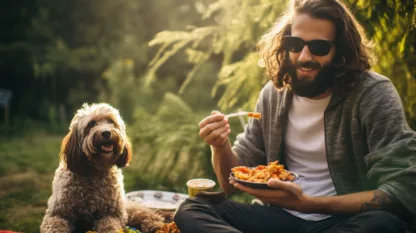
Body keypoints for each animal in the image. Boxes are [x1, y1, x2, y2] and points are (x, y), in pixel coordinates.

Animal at [40, 103, 166, 233]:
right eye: (91, 124)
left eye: (111, 121)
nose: (106, 133)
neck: (95, 170)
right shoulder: (57, 214)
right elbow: (55, 226)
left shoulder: (111, 214)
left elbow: (110, 226)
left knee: (143, 212)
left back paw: (156, 224)